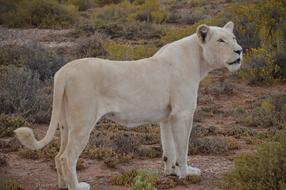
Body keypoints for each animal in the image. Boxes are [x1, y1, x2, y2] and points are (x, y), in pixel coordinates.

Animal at [13, 21, 241, 189]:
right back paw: (77, 186)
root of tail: (63, 72)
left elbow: (169, 147)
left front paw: (171, 172)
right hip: (83, 122)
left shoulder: (168, 117)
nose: (240, 51)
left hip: (65, 123)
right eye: (221, 40)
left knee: (58, 155)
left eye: (234, 38)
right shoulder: (183, 113)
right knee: (67, 158)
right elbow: (182, 148)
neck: (199, 59)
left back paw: (63, 186)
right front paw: (186, 174)